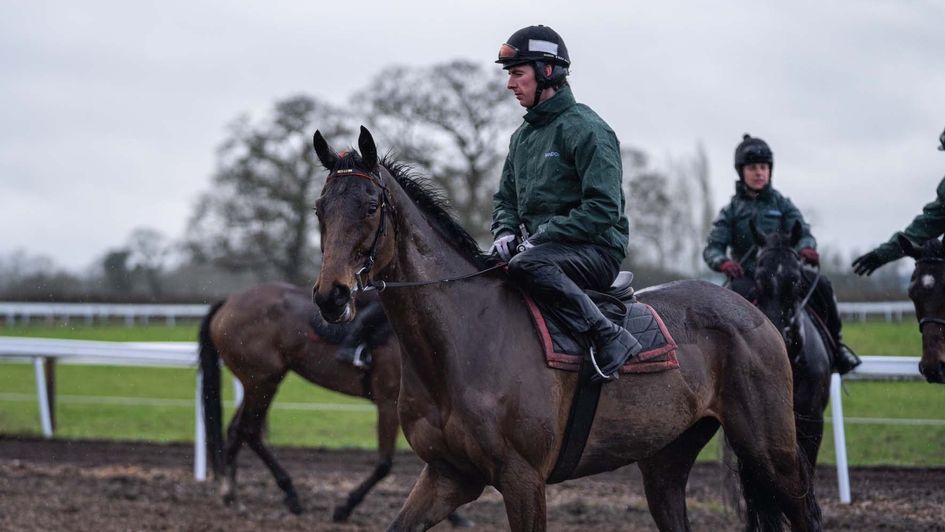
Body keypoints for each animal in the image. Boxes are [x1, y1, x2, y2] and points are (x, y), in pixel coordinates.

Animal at [198, 282, 468, 524]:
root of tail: (230, 301)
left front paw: (453, 514)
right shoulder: (388, 404)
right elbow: (384, 465)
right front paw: (344, 508)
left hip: (258, 384)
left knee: (237, 430)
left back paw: (232, 494)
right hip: (263, 381)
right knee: (249, 430)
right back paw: (287, 494)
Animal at [312, 128, 820, 532]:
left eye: (371, 206)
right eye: (320, 209)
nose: (331, 295)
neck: (460, 341)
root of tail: (756, 314)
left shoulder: (523, 480)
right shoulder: (447, 474)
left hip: (772, 452)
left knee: (805, 512)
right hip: (665, 462)